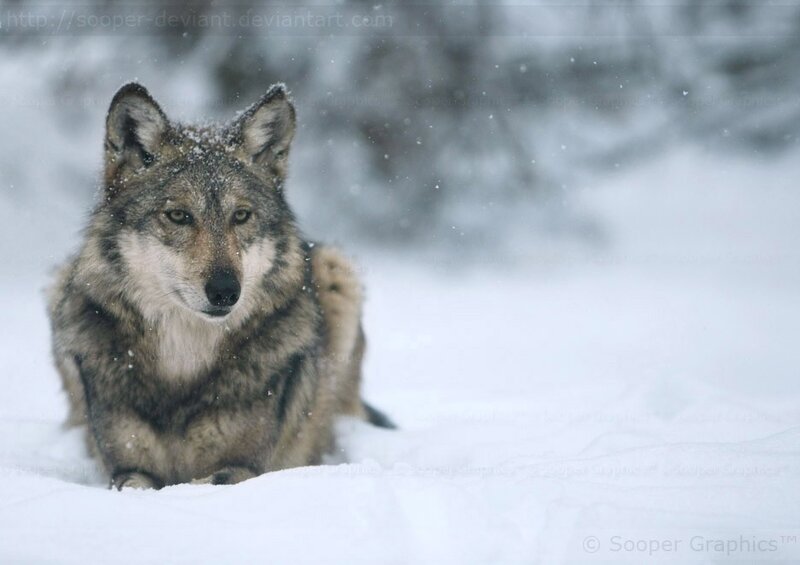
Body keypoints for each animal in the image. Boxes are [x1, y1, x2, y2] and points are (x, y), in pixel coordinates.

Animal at [47, 83, 393, 490]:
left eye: (241, 215)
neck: (183, 362)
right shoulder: (129, 469)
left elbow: (203, 482)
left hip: (338, 270)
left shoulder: (242, 468)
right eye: (179, 216)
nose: (226, 291)